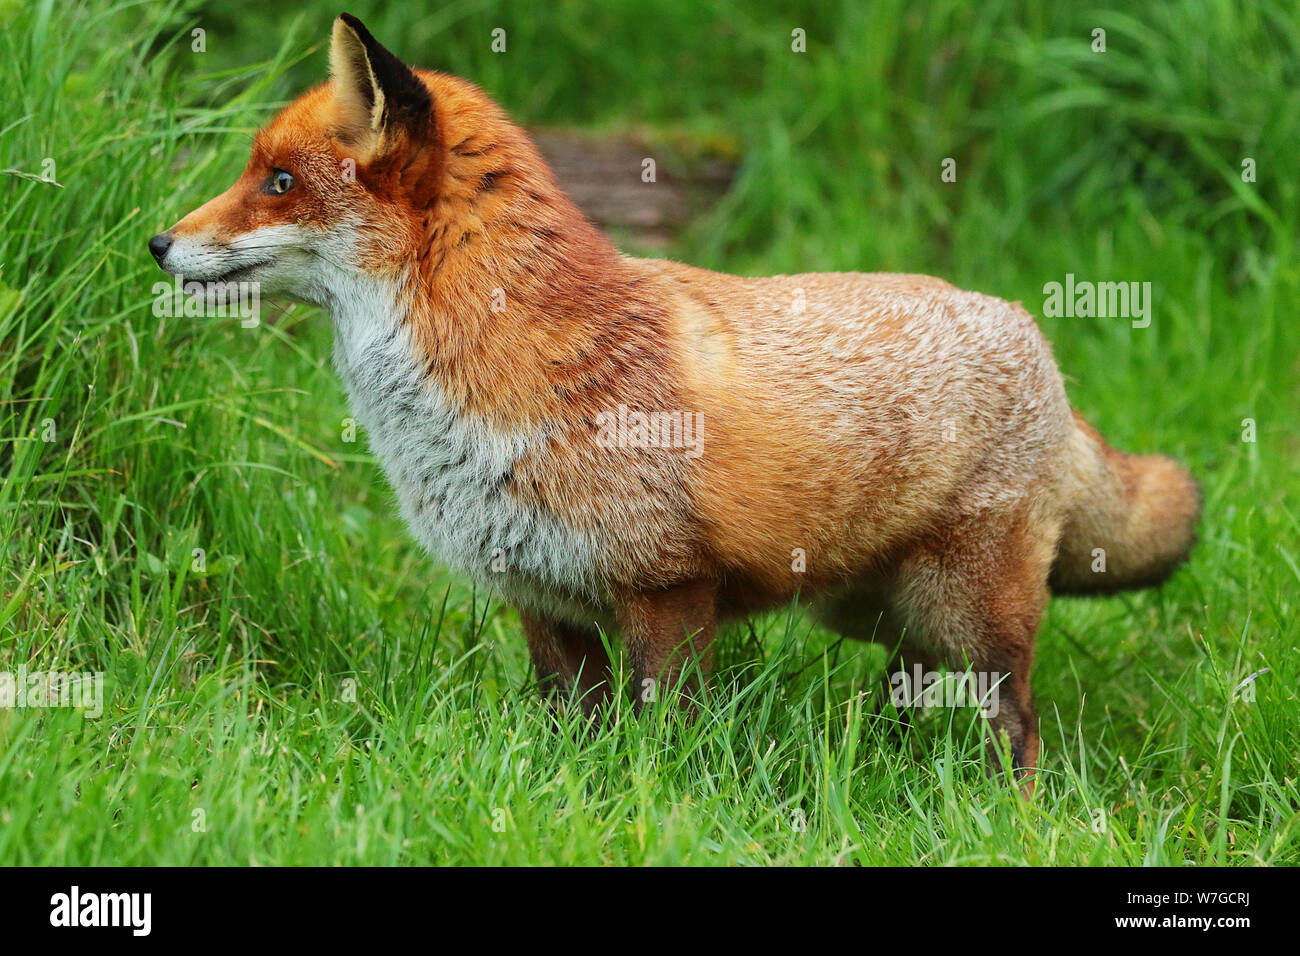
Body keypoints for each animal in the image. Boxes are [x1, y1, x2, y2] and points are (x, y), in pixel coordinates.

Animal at [149, 13, 1196, 785]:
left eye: (279, 182)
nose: (158, 243)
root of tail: (1030, 329)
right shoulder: (545, 596)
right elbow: (575, 736)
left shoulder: (668, 588)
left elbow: (661, 744)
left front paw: (658, 809)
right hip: (877, 610)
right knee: (915, 692)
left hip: (970, 613)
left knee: (1018, 725)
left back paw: (1005, 815)